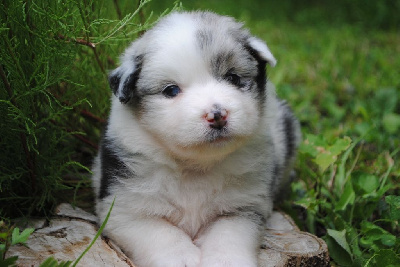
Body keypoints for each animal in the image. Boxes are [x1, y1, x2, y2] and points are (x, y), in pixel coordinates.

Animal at [93, 11, 300, 267]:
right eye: (171, 90)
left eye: (233, 77)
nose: (217, 115)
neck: (194, 167)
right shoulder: (124, 208)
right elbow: (161, 233)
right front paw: (181, 258)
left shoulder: (243, 206)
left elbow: (228, 235)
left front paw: (226, 261)